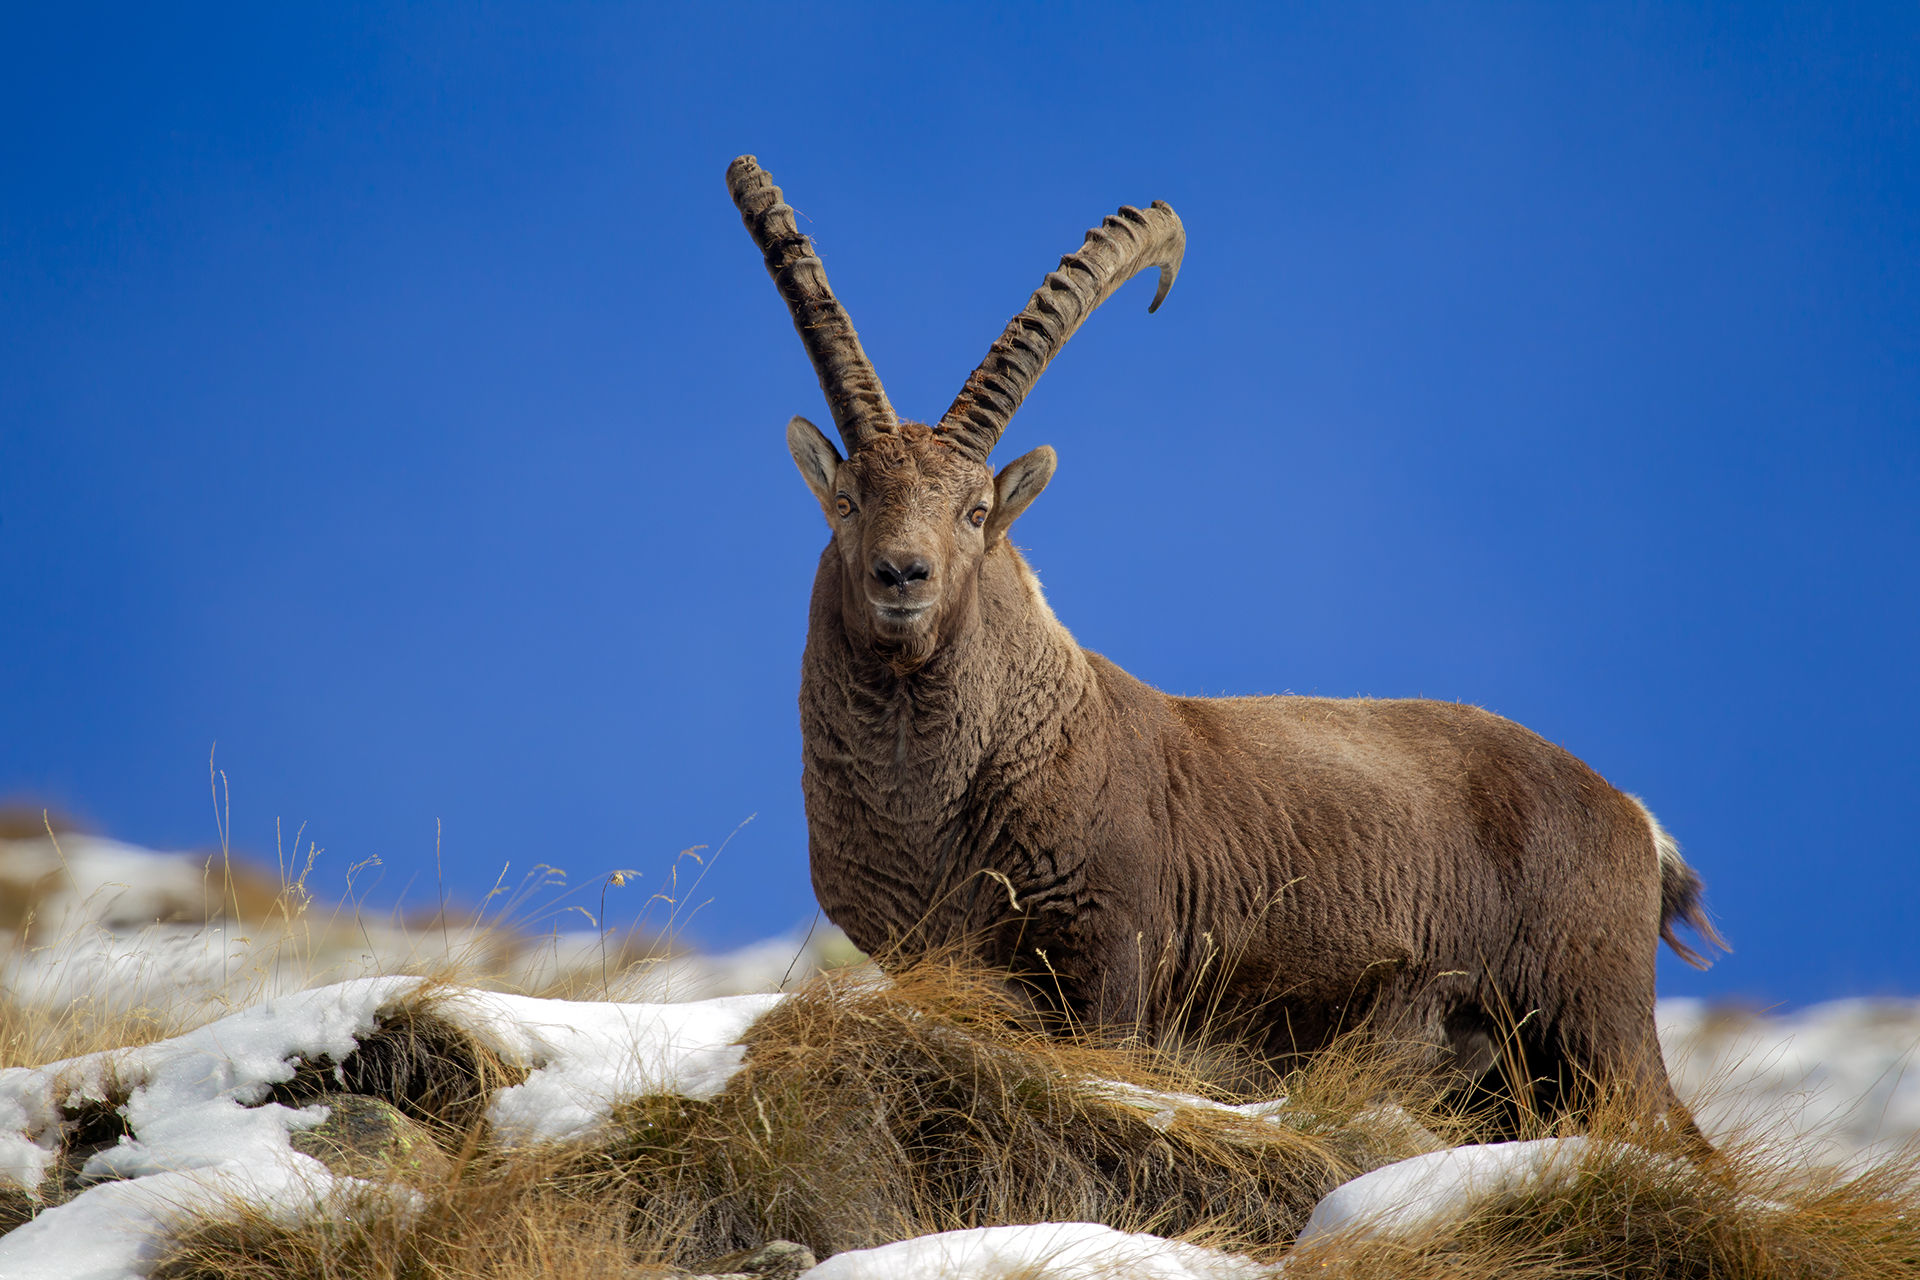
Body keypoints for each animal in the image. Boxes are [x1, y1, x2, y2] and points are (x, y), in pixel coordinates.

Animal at [726, 155, 1724, 1126]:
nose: (902, 575)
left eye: (976, 512)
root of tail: (1634, 820)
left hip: (1591, 1020)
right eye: (846, 500)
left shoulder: (1113, 956)